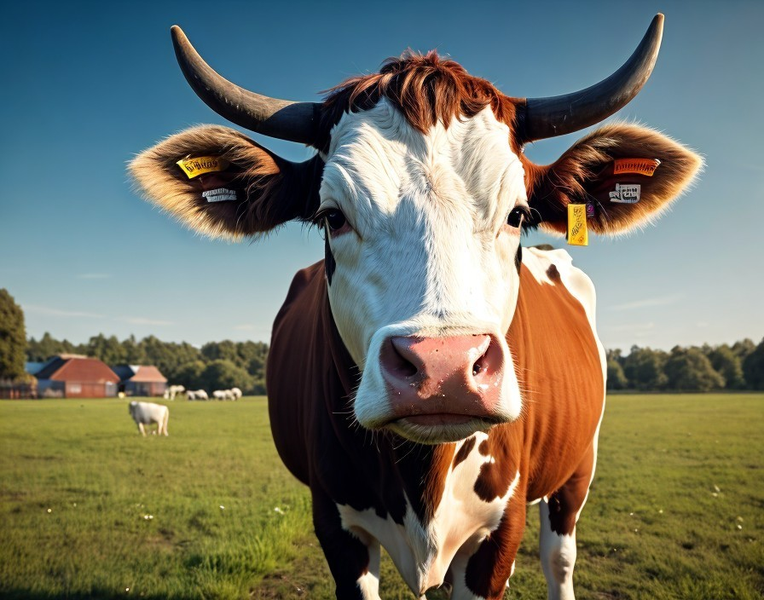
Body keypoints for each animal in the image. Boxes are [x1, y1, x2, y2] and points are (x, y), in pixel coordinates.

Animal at [130, 14, 701, 600]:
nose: (444, 369)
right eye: (332, 215)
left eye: (518, 214)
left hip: (579, 465)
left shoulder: (500, 531)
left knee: (559, 557)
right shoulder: (335, 524)